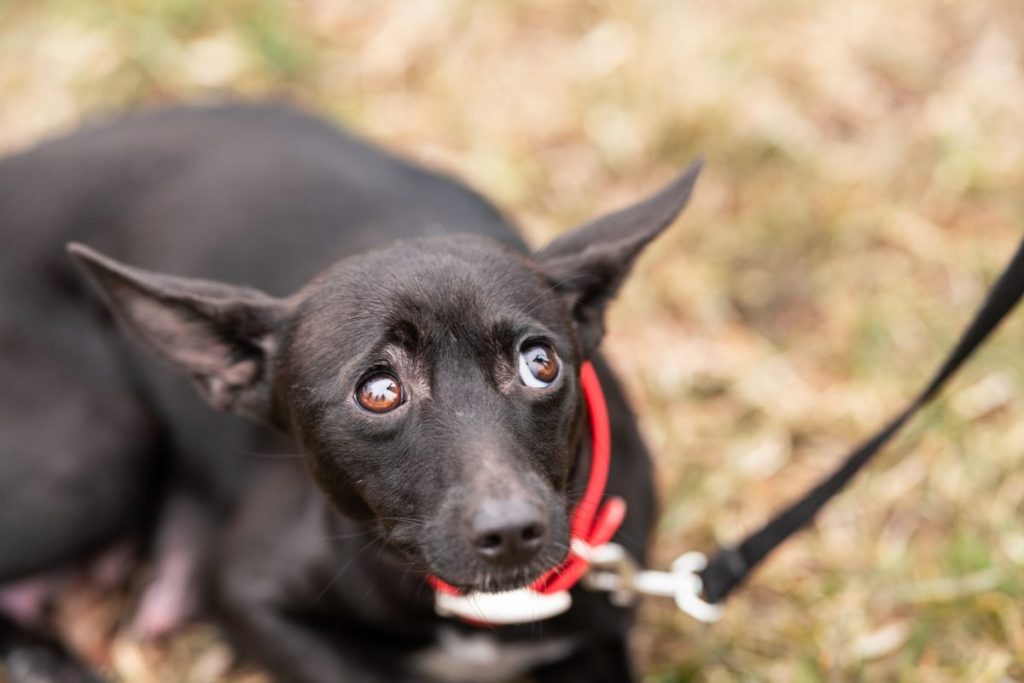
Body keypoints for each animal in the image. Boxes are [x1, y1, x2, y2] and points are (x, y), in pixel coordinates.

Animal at [0, 104, 700, 679]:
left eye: (539, 363)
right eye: (380, 392)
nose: (511, 531)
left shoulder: (600, 644)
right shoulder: (247, 593)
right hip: (99, 446)